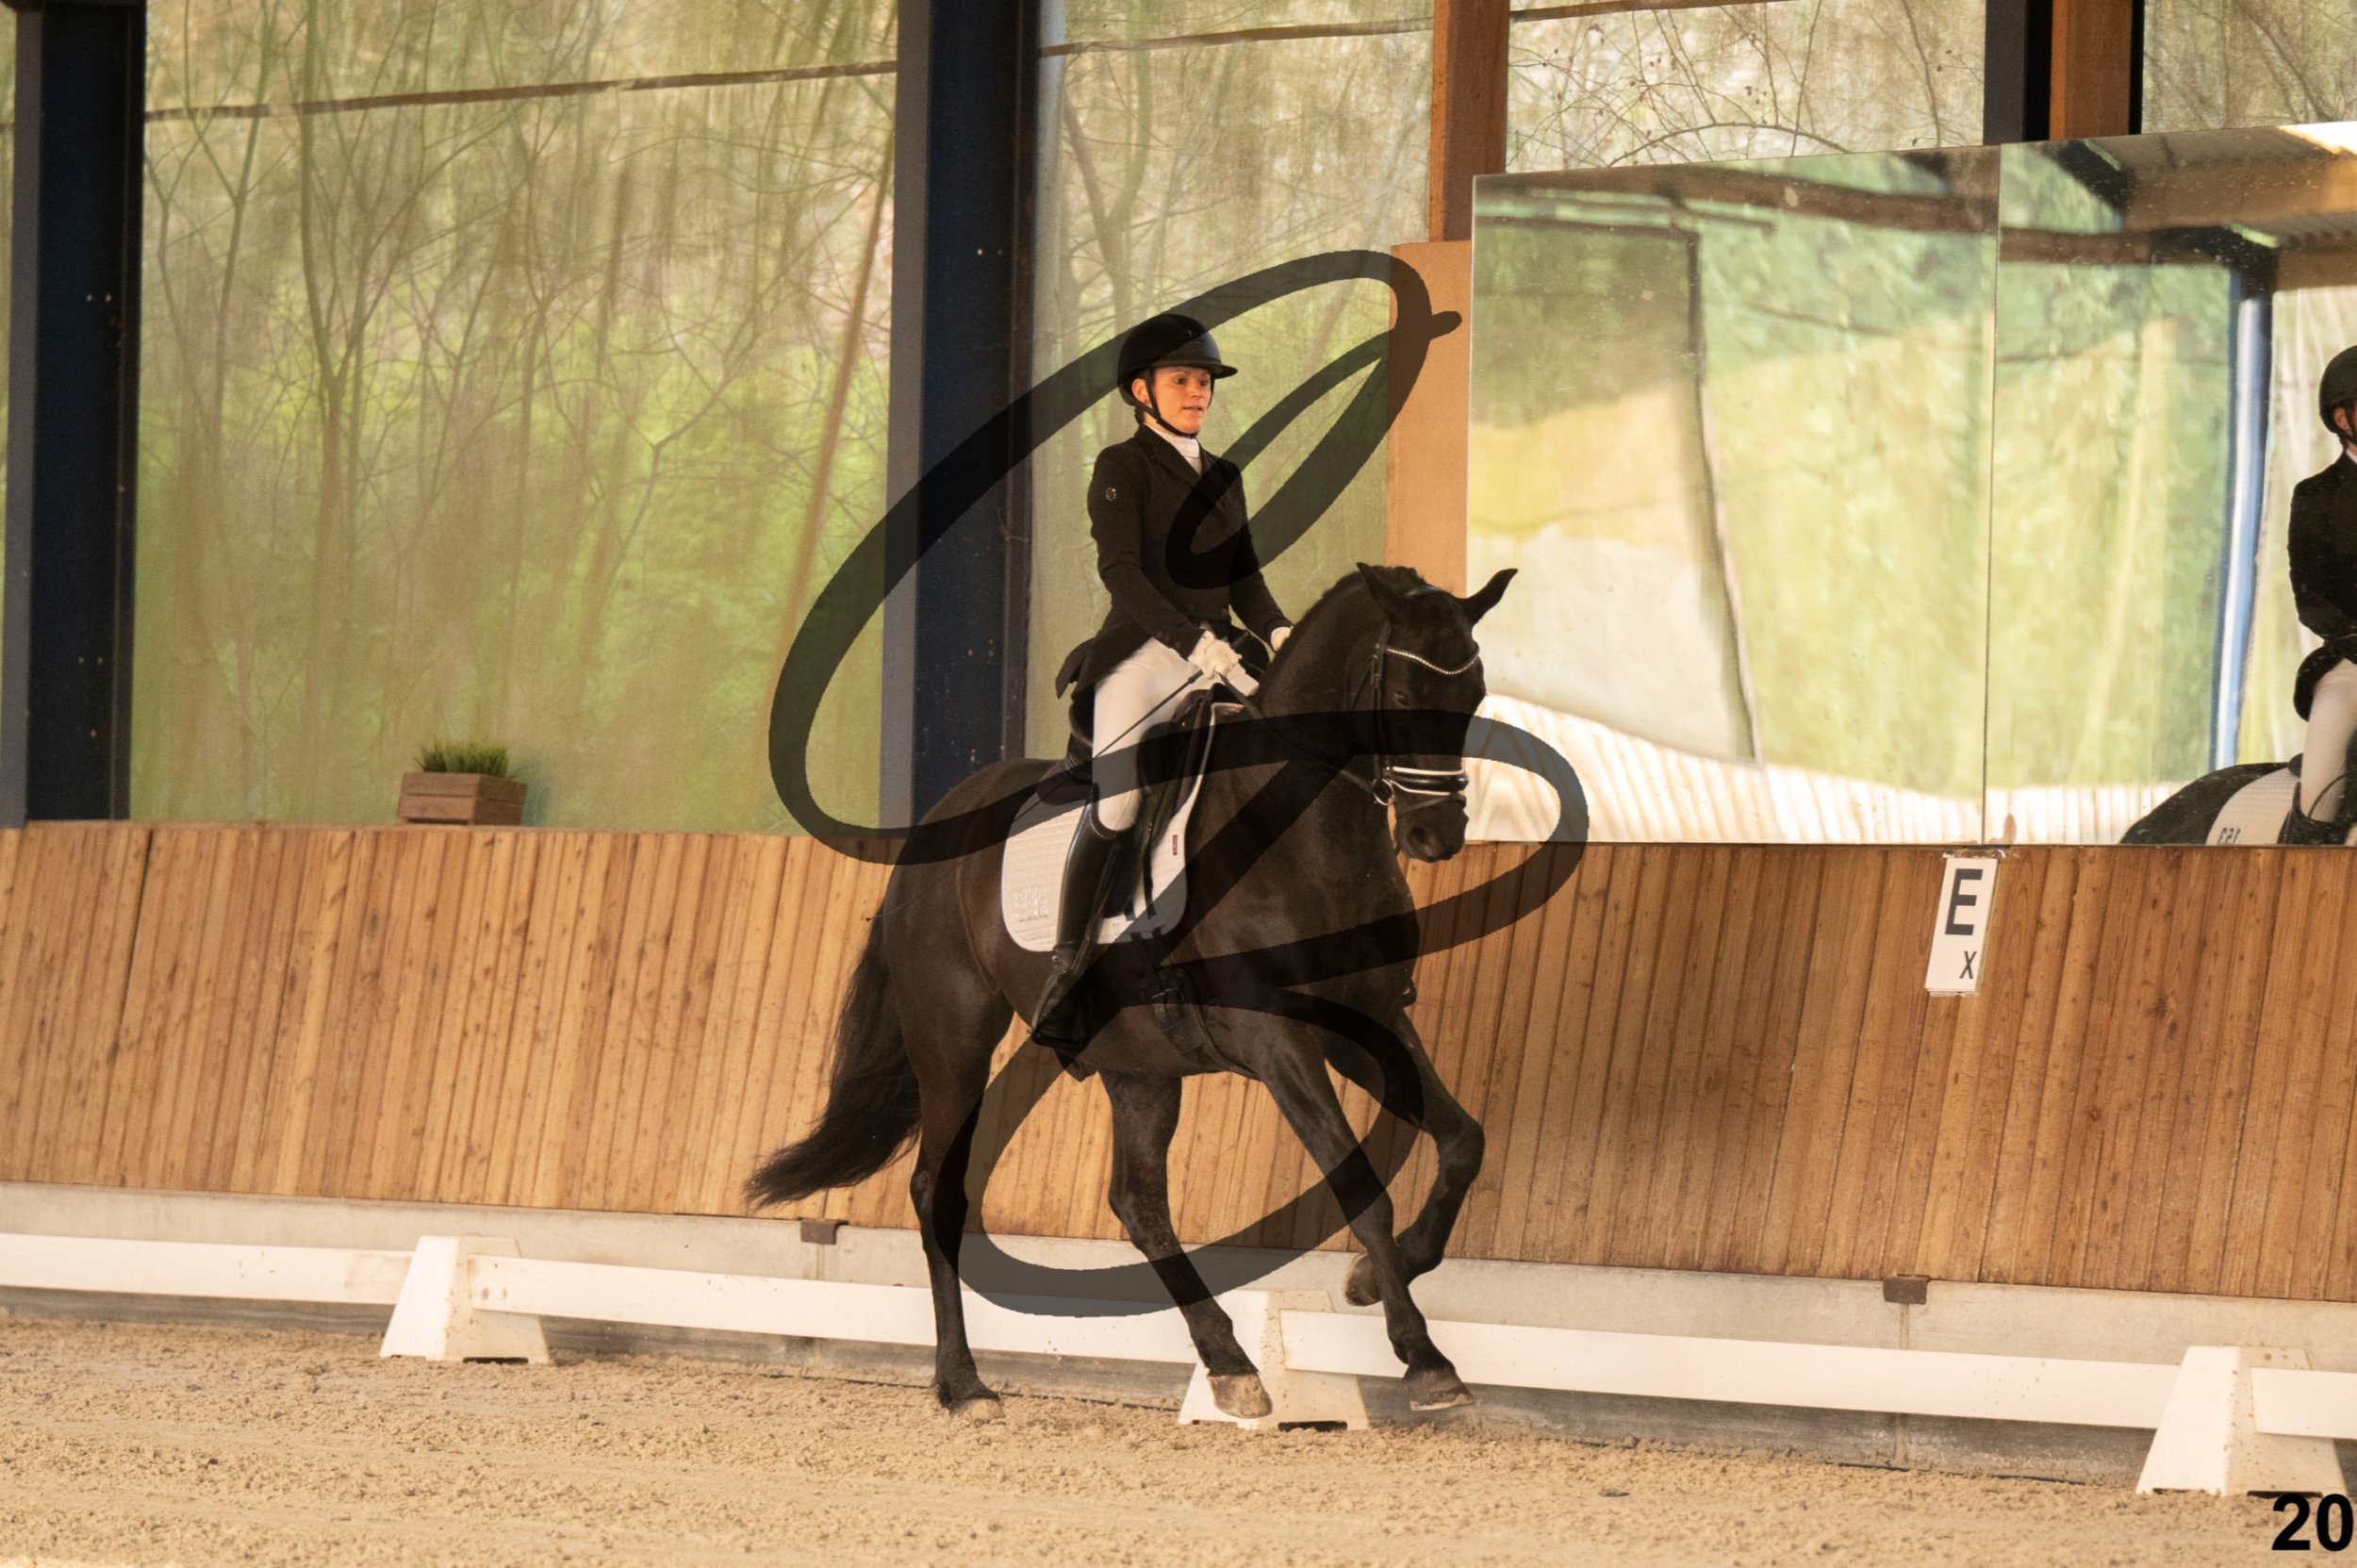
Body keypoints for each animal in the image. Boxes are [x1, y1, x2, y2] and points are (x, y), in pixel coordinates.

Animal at [745, 562, 1516, 1420]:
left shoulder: (1368, 1021)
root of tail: (932, 828)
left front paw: (1374, 1279)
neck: (1303, 837)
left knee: (1140, 1205)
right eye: (1407, 695)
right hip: (954, 1041)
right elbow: (1359, 1184)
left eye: (1475, 692)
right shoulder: (1280, 1042)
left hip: (1138, 1063)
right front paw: (1423, 1357)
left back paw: (1230, 1365)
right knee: (936, 1190)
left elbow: (1463, 1141)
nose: (1435, 836)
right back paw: (963, 1383)